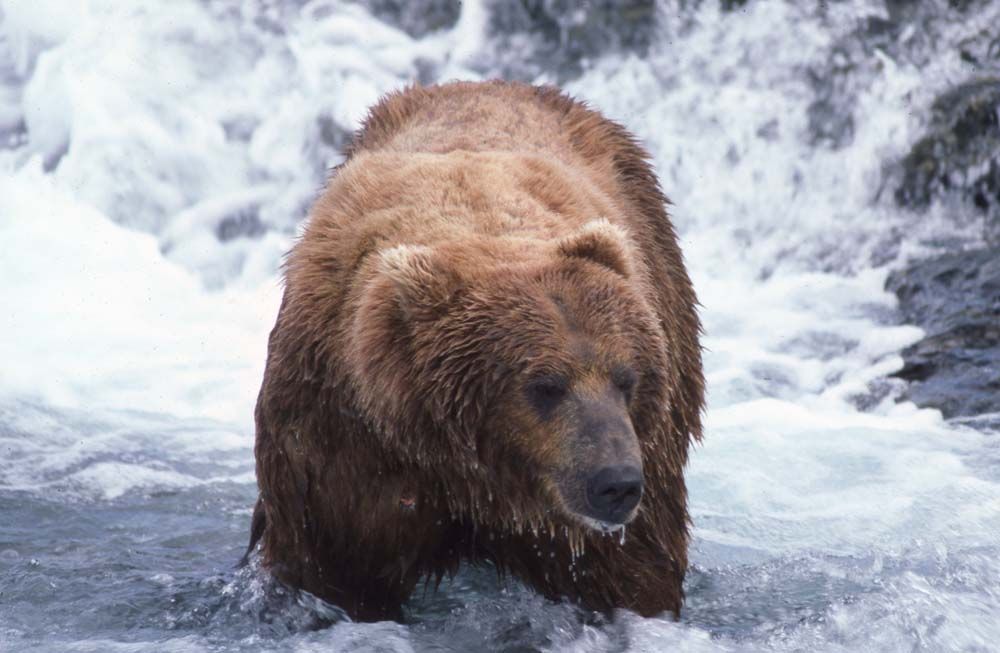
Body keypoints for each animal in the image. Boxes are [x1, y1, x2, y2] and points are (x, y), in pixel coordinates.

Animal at [244, 80, 704, 622]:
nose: (616, 482)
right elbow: (331, 567)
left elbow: (632, 576)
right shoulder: (339, 443)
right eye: (544, 385)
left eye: (626, 378)